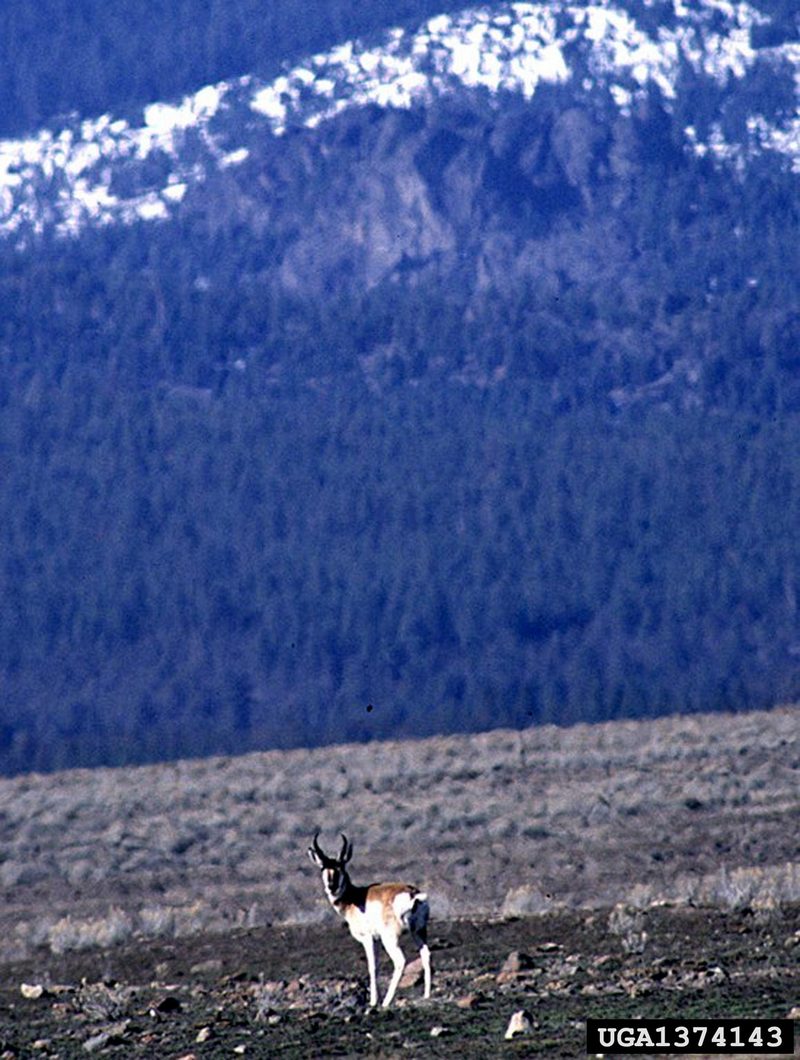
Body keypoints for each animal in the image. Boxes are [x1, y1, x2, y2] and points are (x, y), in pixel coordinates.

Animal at [307, 831, 432, 1004]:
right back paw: (426, 995)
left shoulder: (368, 939)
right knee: (426, 955)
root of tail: (413, 895)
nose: (332, 887)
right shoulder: (376, 940)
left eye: (340, 867)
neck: (354, 897)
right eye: (323, 868)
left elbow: (372, 967)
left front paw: (373, 1002)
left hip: (391, 939)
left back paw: (386, 1002)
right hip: (418, 932)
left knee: (400, 961)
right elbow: (377, 966)